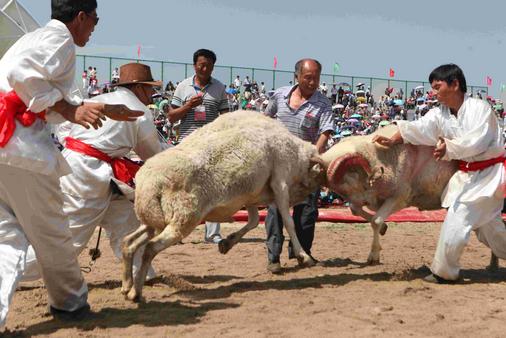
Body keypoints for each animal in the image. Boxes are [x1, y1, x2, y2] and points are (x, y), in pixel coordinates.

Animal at [121, 111, 324, 302]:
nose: (311, 196)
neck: (296, 154)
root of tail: (147, 185)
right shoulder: (280, 182)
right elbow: (288, 222)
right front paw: (303, 256)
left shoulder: (250, 194)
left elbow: (253, 221)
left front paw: (227, 243)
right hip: (183, 218)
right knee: (150, 248)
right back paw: (135, 293)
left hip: (154, 219)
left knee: (129, 243)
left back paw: (126, 285)